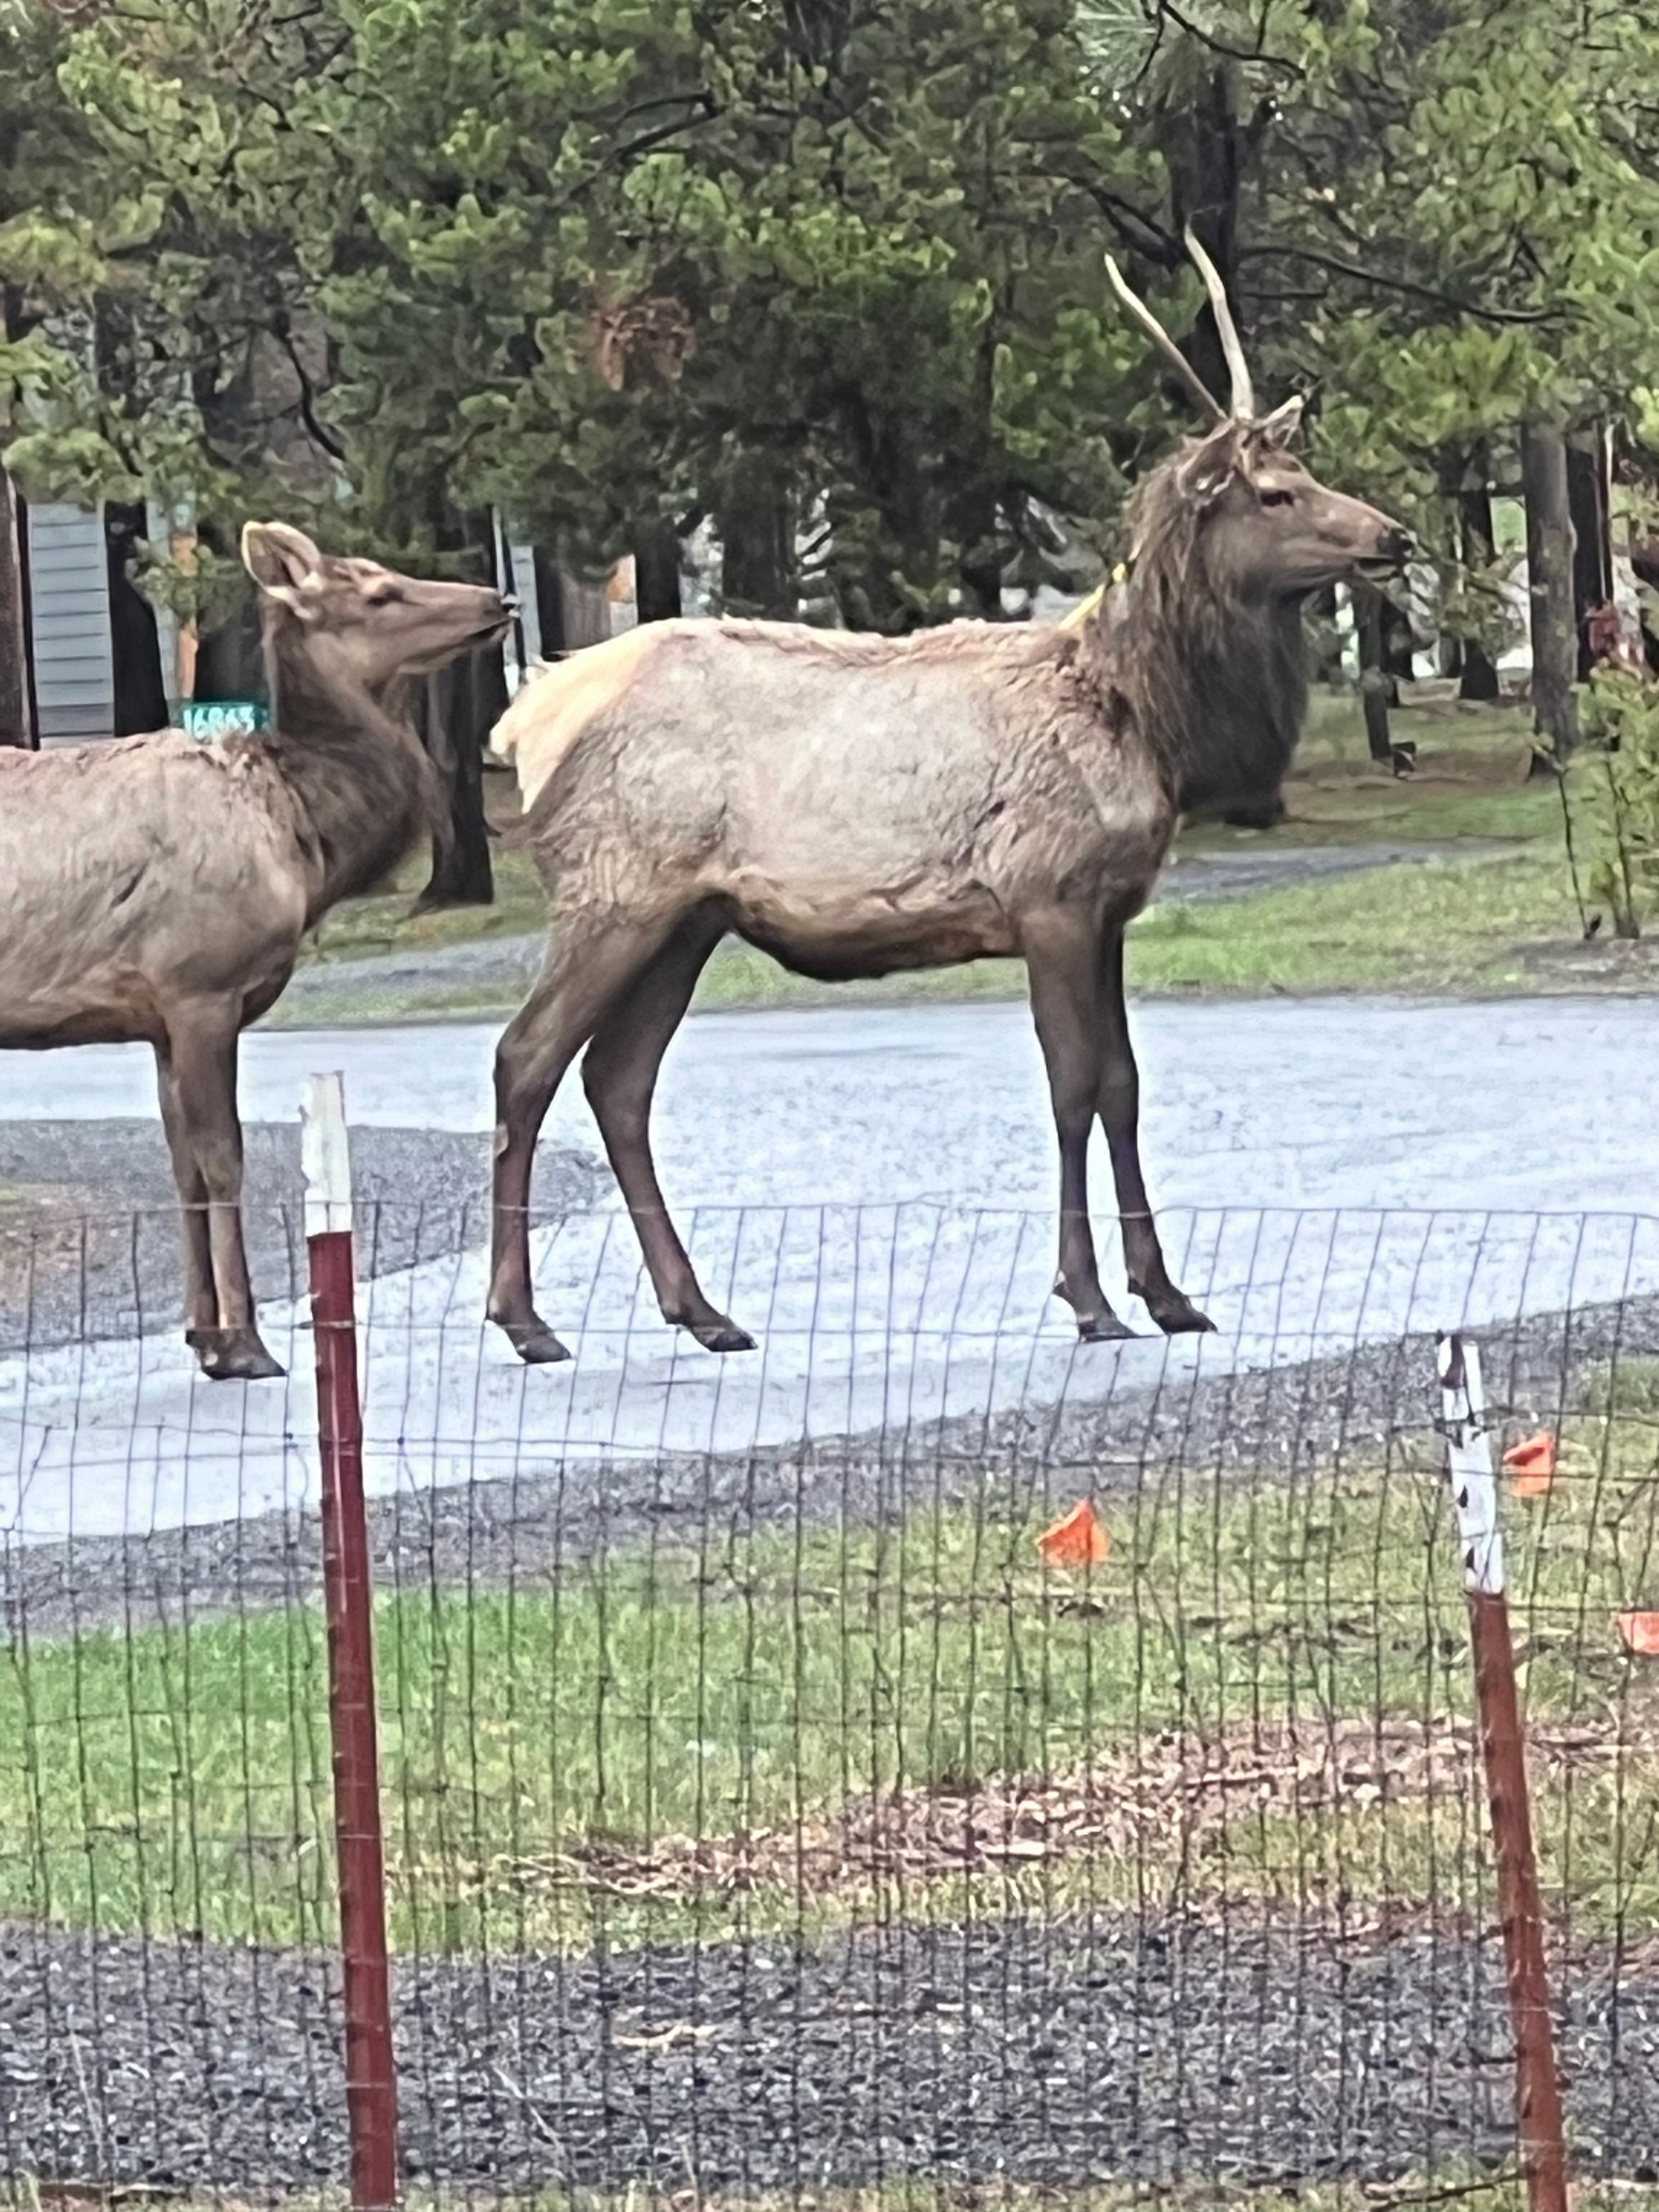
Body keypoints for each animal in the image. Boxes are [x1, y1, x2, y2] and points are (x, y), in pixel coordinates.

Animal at [0, 524, 511, 1381]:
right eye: (381, 593)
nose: (496, 599)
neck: (304, 836)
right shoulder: (201, 985)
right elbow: (222, 1160)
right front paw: (244, 1341)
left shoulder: (158, 1015)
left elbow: (181, 1164)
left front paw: (201, 1332)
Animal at [485, 232, 1412, 1365]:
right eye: (1273, 492)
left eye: (1308, 472)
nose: (1392, 536)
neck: (1143, 719)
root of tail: (523, 723)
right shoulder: (1045, 896)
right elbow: (1070, 1086)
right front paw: (1088, 1298)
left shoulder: (1107, 909)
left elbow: (1122, 1085)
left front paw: (1168, 1293)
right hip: (611, 891)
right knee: (525, 1059)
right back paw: (525, 1320)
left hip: (687, 918)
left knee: (618, 1082)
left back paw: (701, 1310)